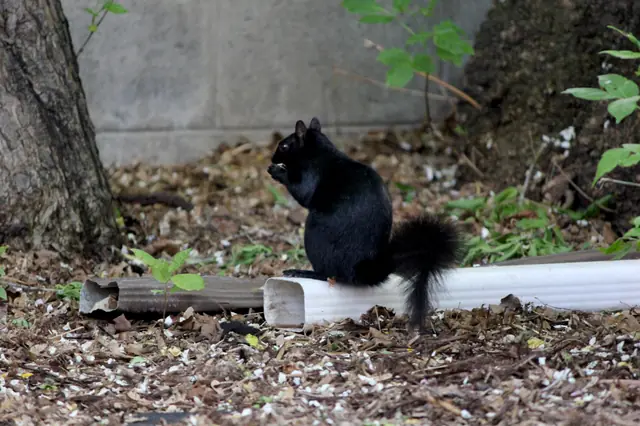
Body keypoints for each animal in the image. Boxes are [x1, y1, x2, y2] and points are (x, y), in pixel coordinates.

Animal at [267, 117, 463, 331]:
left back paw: (304, 272)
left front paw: (278, 172)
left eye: (284, 146)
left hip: (315, 235)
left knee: (330, 275)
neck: (319, 152)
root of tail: (363, 271)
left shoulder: (311, 174)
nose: (272, 158)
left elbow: (303, 192)